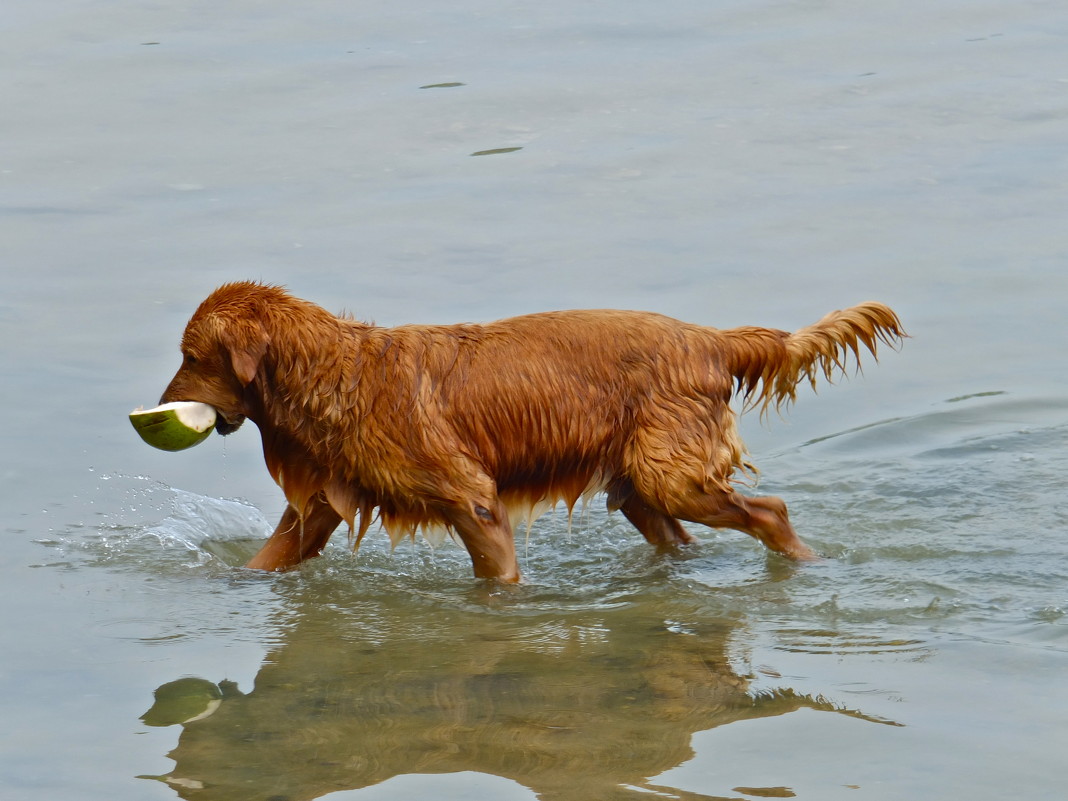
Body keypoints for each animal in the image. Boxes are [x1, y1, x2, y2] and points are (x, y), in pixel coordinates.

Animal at [162, 284, 905, 585]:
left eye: (192, 356)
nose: (160, 406)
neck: (331, 372)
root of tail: (711, 340)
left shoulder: (473, 498)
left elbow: (497, 573)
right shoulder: (321, 502)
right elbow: (270, 554)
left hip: (674, 474)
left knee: (770, 510)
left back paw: (807, 563)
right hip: (639, 485)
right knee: (677, 535)